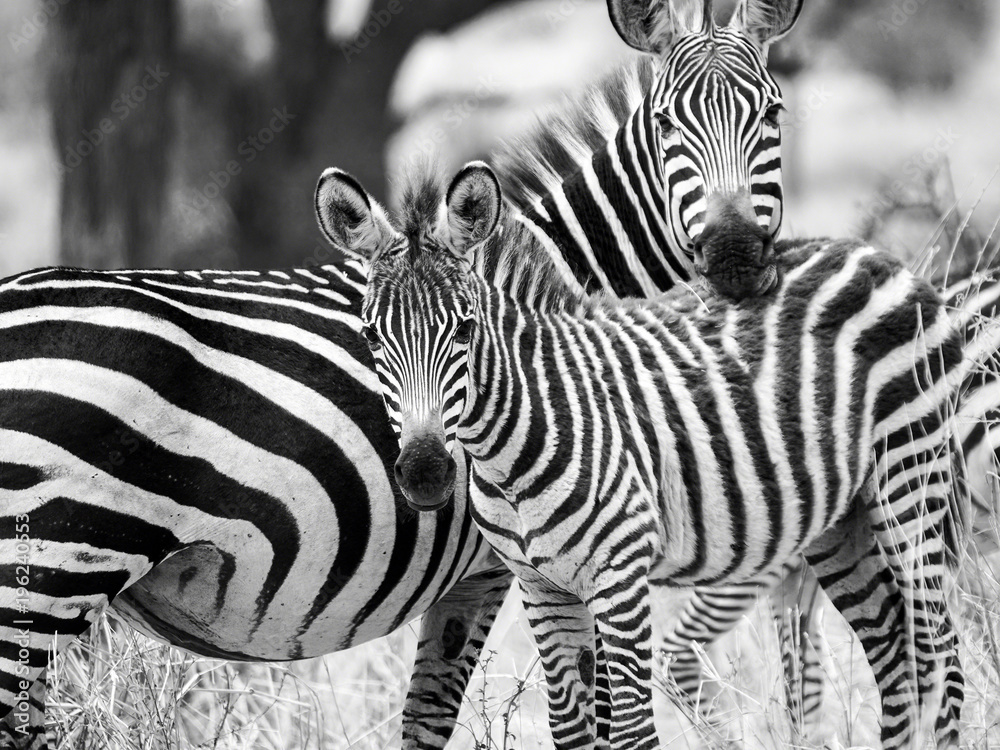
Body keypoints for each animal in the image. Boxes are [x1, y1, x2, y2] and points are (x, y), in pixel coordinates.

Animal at [318, 160, 967, 749]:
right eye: (371, 336)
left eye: (465, 330)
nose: (425, 475)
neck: (509, 458)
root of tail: (873, 254)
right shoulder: (542, 588)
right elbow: (571, 730)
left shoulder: (621, 576)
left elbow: (631, 730)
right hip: (839, 520)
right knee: (895, 655)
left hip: (910, 485)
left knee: (941, 654)